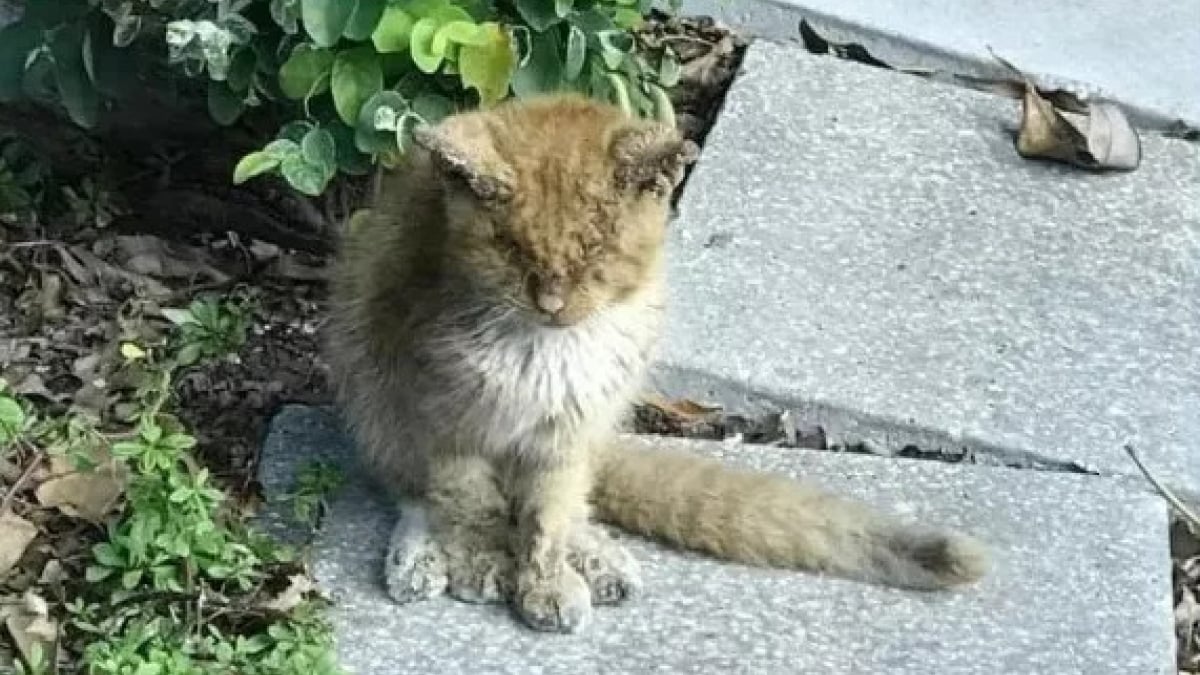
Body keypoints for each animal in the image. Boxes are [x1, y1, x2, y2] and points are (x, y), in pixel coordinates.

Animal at [324, 93, 988, 629]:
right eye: (511, 249)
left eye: (595, 249)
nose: (552, 302)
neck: (546, 353)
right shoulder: (440, 417)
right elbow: (468, 502)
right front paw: (484, 558)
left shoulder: (568, 429)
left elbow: (548, 515)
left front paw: (546, 579)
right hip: (368, 385)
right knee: (407, 488)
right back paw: (422, 555)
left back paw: (594, 556)